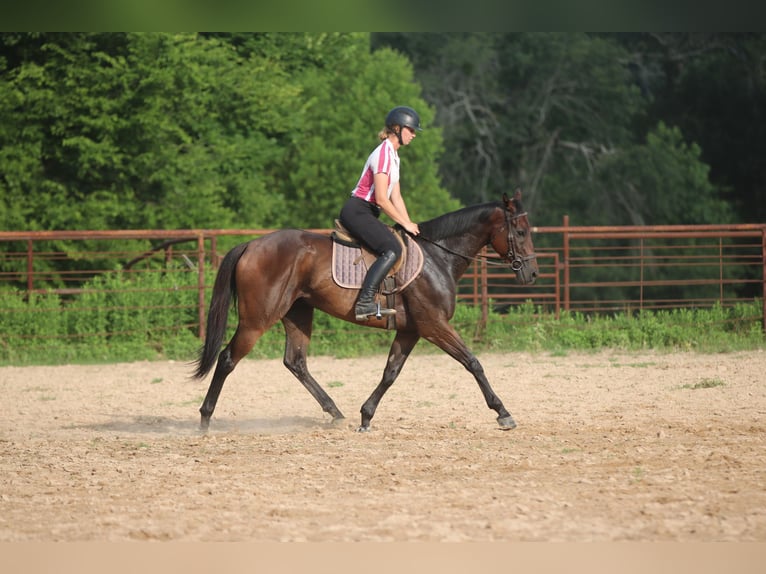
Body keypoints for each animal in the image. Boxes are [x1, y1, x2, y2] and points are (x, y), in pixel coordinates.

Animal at [192, 189, 538, 432]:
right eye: (520, 232)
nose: (532, 274)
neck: (438, 256)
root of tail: (251, 245)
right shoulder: (434, 325)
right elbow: (473, 362)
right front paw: (503, 413)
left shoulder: (411, 330)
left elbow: (390, 373)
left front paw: (366, 416)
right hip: (257, 319)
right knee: (227, 359)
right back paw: (205, 419)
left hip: (297, 313)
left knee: (296, 362)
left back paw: (335, 413)